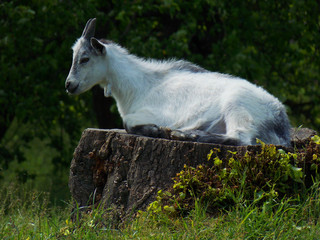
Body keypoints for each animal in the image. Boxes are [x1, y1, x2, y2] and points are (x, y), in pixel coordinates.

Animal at [66, 18, 292, 146]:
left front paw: (155, 130)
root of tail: (281, 121)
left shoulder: (158, 114)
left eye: (84, 59)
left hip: (238, 106)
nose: (69, 85)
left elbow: (127, 122)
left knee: (241, 138)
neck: (140, 84)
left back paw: (186, 135)